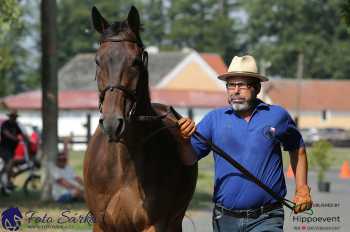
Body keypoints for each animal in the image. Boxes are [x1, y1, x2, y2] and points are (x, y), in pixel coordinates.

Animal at [82, 6, 197, 231]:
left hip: (175, 221)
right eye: (97, 60)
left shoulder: (153, 225)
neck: (123, 165)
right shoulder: (101, 224)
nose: (112, 123)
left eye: (135, 61)